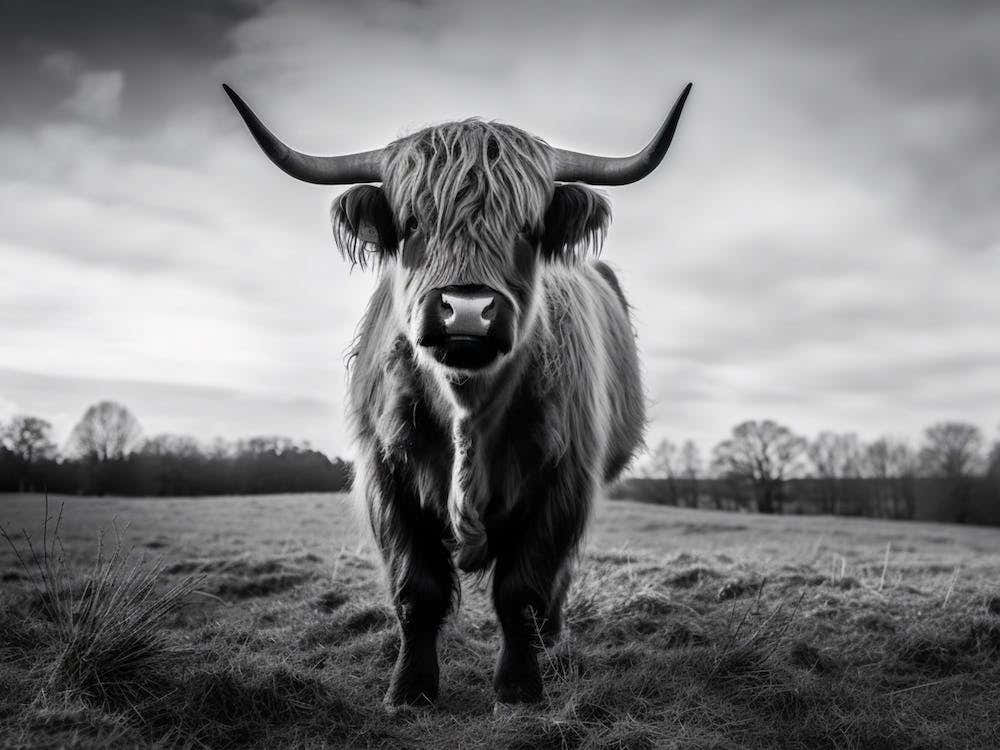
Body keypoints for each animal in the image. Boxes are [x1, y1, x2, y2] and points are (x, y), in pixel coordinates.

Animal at [223, 82, 692, 710]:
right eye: (412, 221)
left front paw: (519, 689)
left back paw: (553, 641)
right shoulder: (386, 479)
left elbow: (523, 590)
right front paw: (409, 690)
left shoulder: (564, 482)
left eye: (528, 227)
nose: (467, 310)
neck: (467, 408)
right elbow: (415, 591)